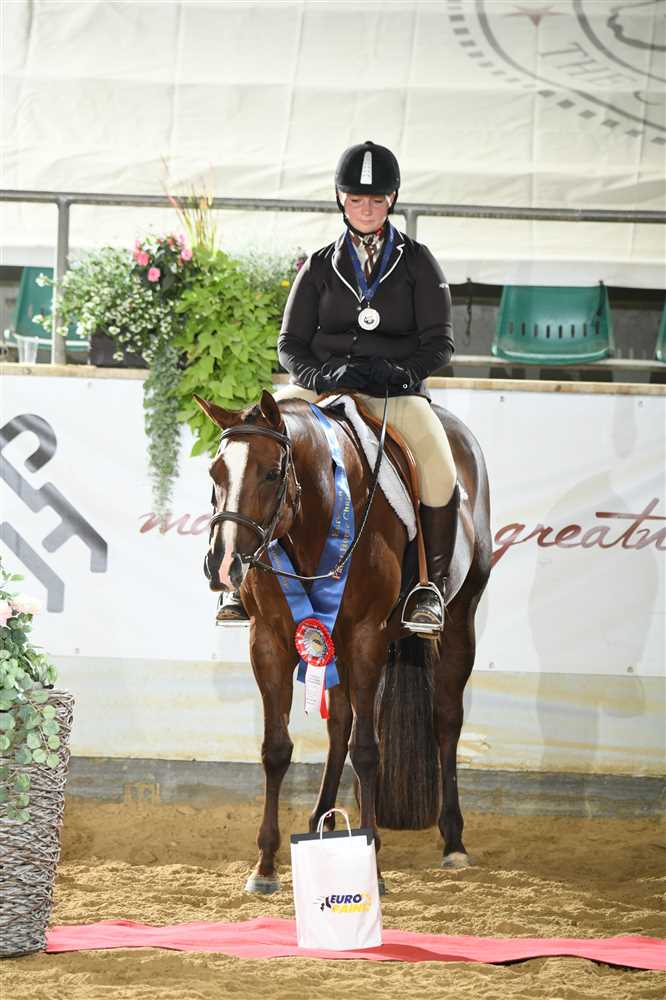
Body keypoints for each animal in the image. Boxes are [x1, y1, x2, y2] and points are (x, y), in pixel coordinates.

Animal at [197, 388, 491, 893]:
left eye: (271, 473)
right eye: (216, 473)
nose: (223, 564)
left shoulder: (365, 637)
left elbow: (368, 751)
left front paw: (374, 867)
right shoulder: (269, 640)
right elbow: (277, 749)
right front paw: (265, 867)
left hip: (459, 620)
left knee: (446, 720)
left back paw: (453, 842)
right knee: (340, 724)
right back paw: (324, 821)